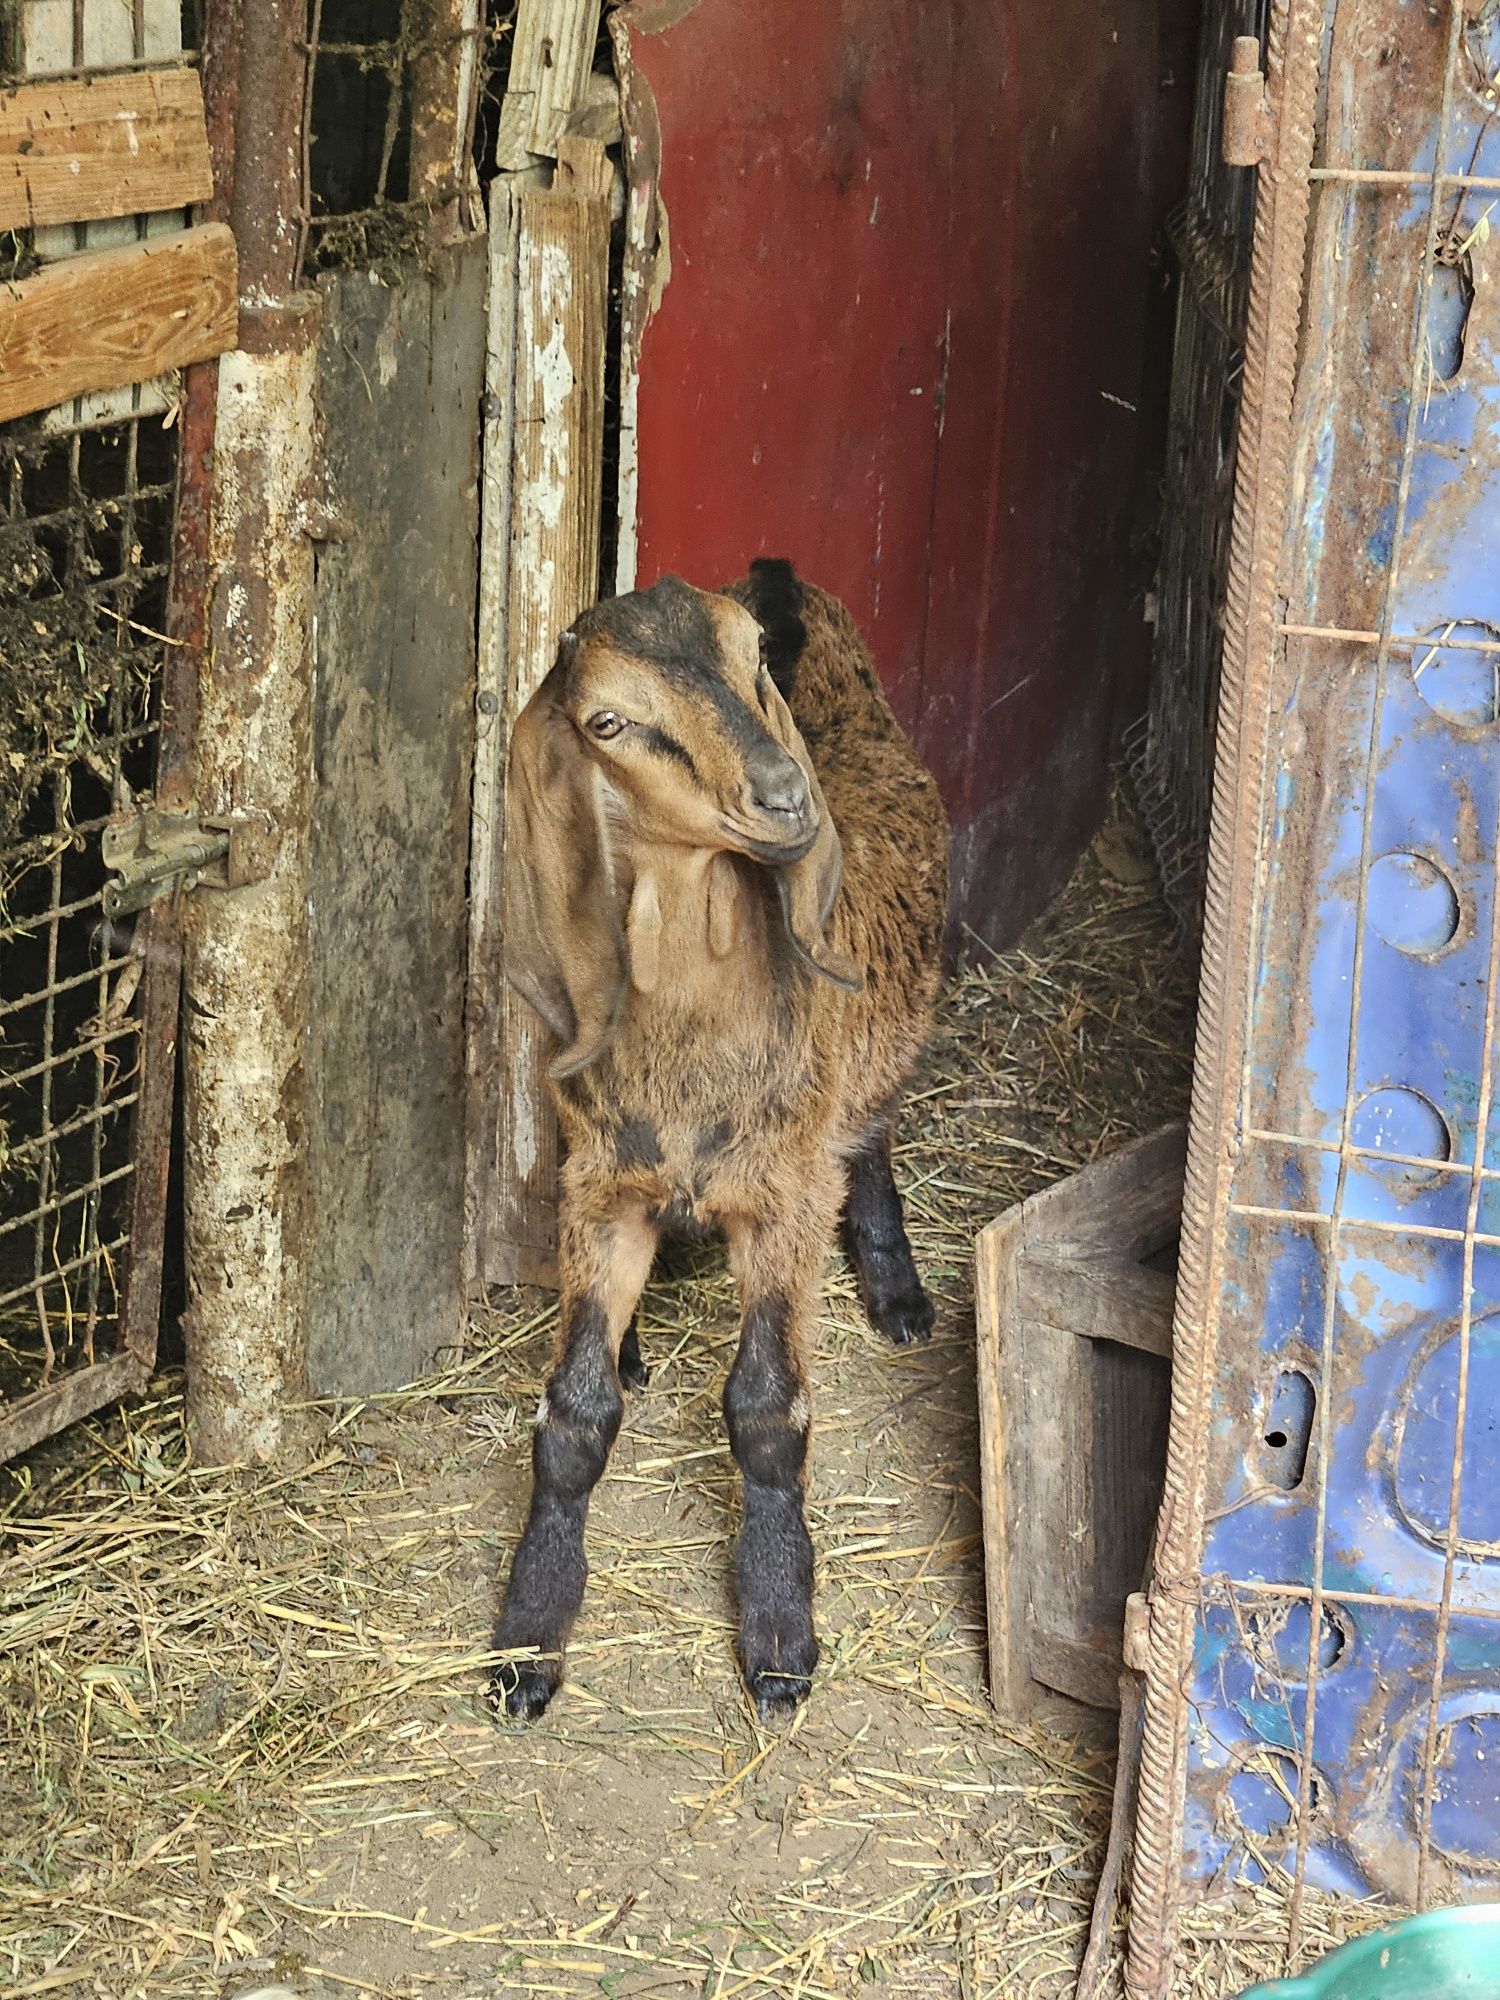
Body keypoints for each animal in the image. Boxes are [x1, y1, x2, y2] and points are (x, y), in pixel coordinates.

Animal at [494, 560, 944, 1720]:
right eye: (609, 721)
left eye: (751, 663)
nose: (785, 794)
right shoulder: (601, 1187)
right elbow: (574, 1410)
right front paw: (527, 1634)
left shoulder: (783, 1197)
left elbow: (767, 1405)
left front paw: (780, 1634)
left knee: (873, 1137)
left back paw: (898, 1291)